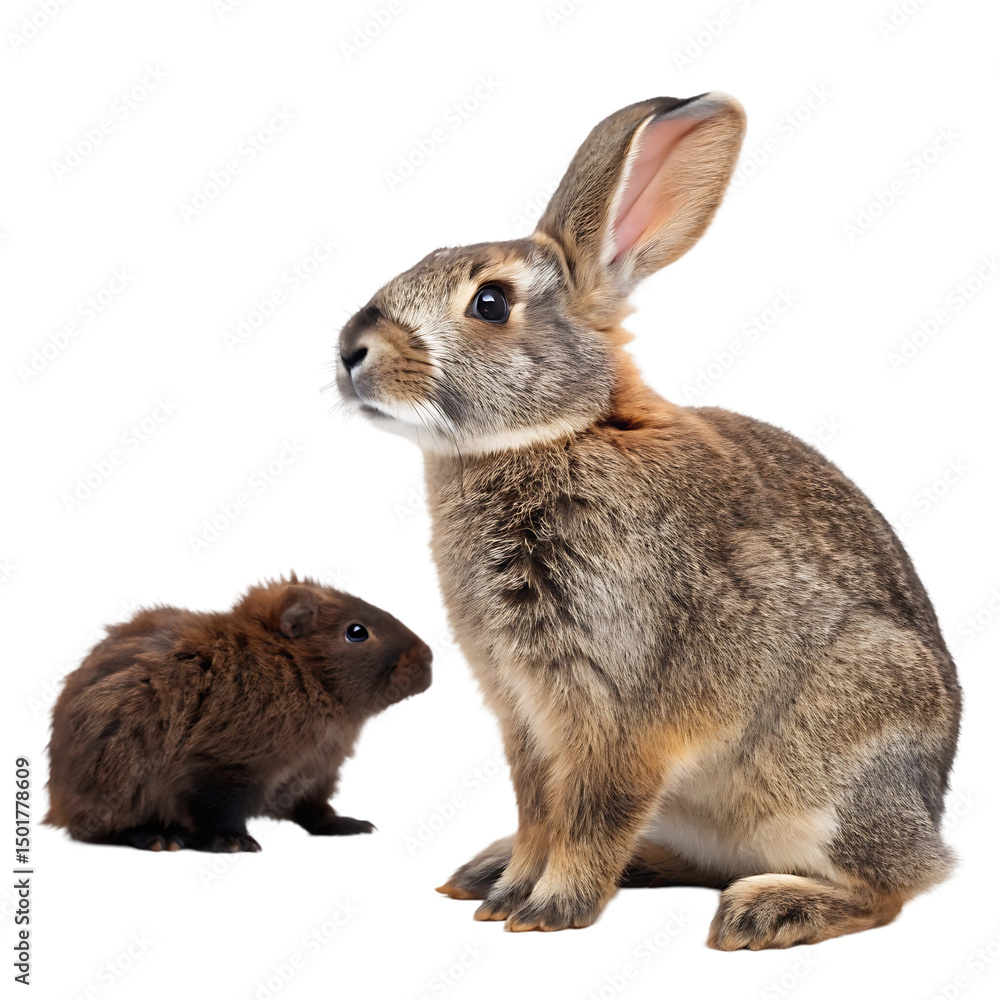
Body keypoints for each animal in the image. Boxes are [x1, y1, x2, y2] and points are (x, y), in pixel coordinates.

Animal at [46, 575, 432, 851]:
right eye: (356, 632)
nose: (427, 656)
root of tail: (56, 807)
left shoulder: (316, 770)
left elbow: (315, 808)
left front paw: (349, 824)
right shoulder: (225, 764)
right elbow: (217, 809)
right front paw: (234, 841)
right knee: (94, 830)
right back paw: (157, 837)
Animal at [334, 93, 961, 948]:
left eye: (490, 302)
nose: (349, 350)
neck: (561, 430)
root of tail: (931, 812)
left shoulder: (621, 704)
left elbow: (594, 812)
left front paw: (548, 910)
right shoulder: (525, 712)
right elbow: (541, 810)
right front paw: (514, 888)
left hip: (837, 763)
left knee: (891, 888)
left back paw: (770, 909)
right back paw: (500, 870)